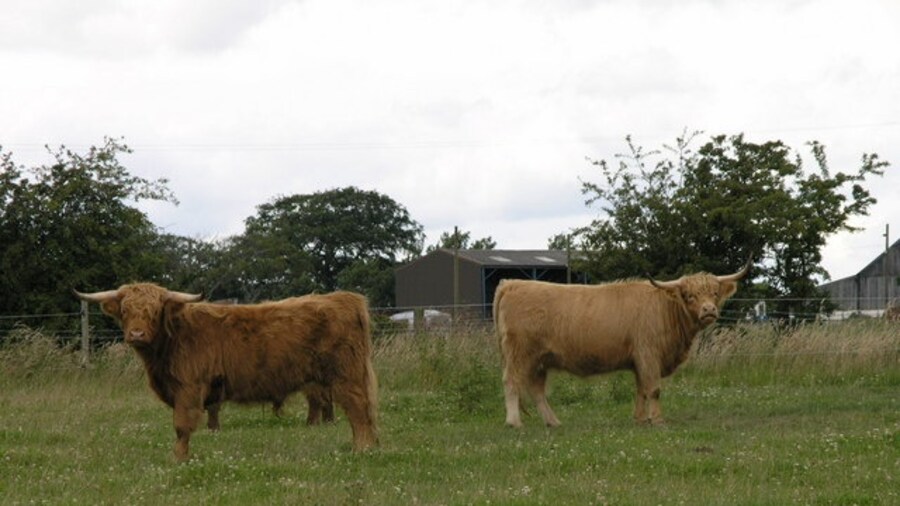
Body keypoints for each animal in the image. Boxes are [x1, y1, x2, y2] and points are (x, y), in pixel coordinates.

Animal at [73, 284, 376, 462]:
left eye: (155, 311)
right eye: (125, 310)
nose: (136, 334)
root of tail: (345, 298)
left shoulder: (189, 388)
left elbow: (182, 426)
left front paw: (179, 459)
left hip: (346, 375)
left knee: (358, 410)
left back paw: (361, 450)